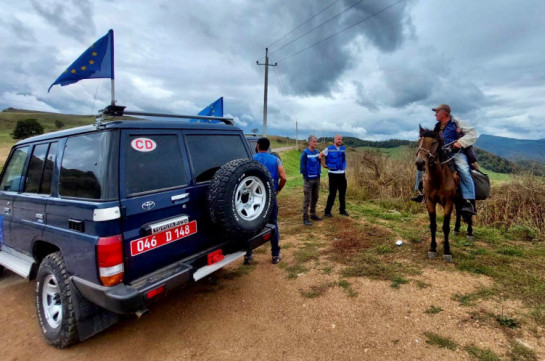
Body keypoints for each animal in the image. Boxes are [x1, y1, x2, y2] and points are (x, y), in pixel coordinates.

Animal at [416, 125, 472, 260]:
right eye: (417, 143)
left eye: (433, 142)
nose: (420, 163)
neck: (438, 179)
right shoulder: (430, 202)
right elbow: (433, 225)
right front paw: (432, 248)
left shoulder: (448, 203)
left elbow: (445, 227)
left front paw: (447, 251)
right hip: (458, 200)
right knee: (459, 212)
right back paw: (456, 229)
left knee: (470, 212)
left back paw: (470, 232)